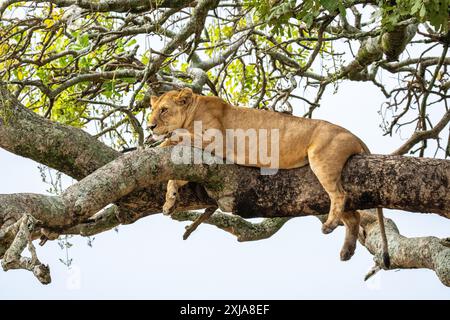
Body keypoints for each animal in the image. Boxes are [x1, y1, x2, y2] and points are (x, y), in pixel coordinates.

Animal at [149, 88, 390, 268]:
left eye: (164, 110)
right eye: (152, 111)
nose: (150, 126)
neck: (193, 111)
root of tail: (353, 134)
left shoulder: (216, 140)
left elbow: (178, 137)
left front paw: (160, 143)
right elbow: (175, 178)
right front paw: (169, 201)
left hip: (321, 159)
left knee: (340, 195)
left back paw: (329, 226)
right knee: (353, 214)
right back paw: (346, 250)